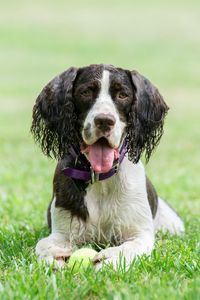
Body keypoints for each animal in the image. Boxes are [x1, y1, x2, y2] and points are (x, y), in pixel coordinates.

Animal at [31, 63, 184, 270]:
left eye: (123, 95)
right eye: (86, 92)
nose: (104, 120)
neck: (99, 178)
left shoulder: (140, 234)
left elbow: (128, 248)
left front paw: (108, 259)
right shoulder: (62, 232)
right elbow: (42, 246)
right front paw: (55, 259)